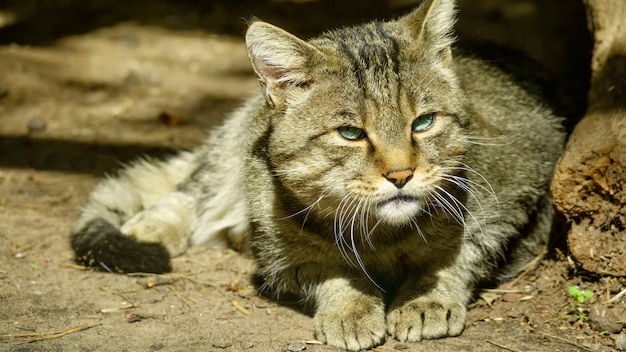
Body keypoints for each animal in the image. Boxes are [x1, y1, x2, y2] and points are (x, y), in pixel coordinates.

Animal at [70, 0, 564, 350]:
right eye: (350, 133)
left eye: (423, 123)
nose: (401, 174)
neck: (381, 235)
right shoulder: (282, 255)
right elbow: (328, 267)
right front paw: (349, 306)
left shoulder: (517, 193)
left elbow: (454, 254)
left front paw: (427, 295)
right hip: (232, 150)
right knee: (190, 190)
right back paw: (152, 226)